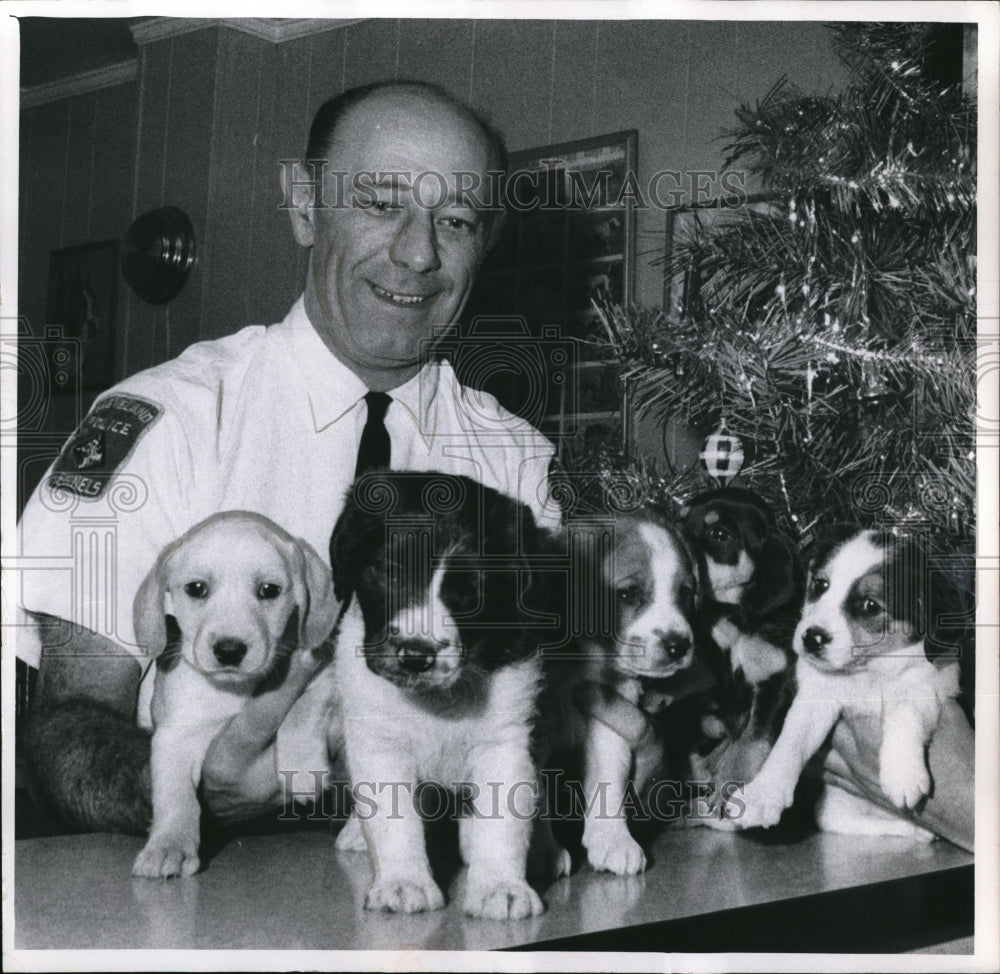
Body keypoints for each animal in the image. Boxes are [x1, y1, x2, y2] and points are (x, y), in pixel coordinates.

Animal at [131, 516, 340, 880]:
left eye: (269, 590)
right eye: (196, 589)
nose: (229, 650)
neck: (236, 691)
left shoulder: (324, 675)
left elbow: (302, 710)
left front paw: (301, 769)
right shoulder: (175, 737)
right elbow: (175, 796)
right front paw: (169, 844)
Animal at [330, 472, 560, 924]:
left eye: (470, 592)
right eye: (388, 572)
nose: (417, 654)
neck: (440, 700)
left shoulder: (506, 740)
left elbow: (504, 819)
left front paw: (502, 886)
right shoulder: (381, 742)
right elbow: (394, 817)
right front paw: (403, 882)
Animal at [732, 528, 964, 840]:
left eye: (869, 605)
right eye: (820, 584)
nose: (812, 638)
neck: (865, 672)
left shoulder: (928, 686)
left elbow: (905, 713)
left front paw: (902, 772)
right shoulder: (815, 699)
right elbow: (790, 742)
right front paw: (763, 794)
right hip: (833, 809)